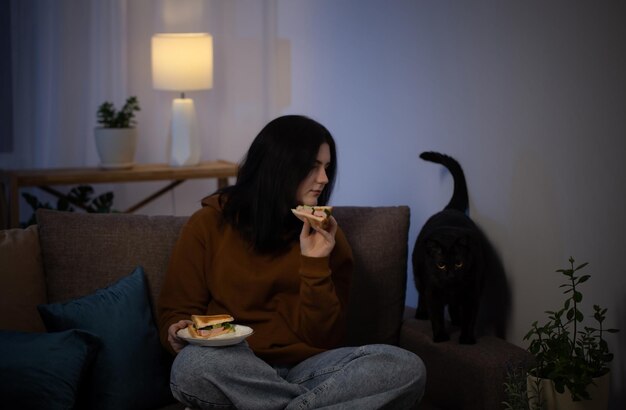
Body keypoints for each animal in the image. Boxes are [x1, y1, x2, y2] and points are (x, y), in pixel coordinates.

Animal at [412, 151, 486, 342]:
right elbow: (436, 316)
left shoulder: (472, 292)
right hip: (419, 277)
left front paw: (466, 339)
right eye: (441, 265)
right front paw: (440, 337)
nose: (451, 274)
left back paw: (456, 321)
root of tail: (451, 209)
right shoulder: (433, 292)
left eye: (459, 263)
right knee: (421, 296)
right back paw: (421, 314)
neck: (451, 288)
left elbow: (470, 317)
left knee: (454, 307)